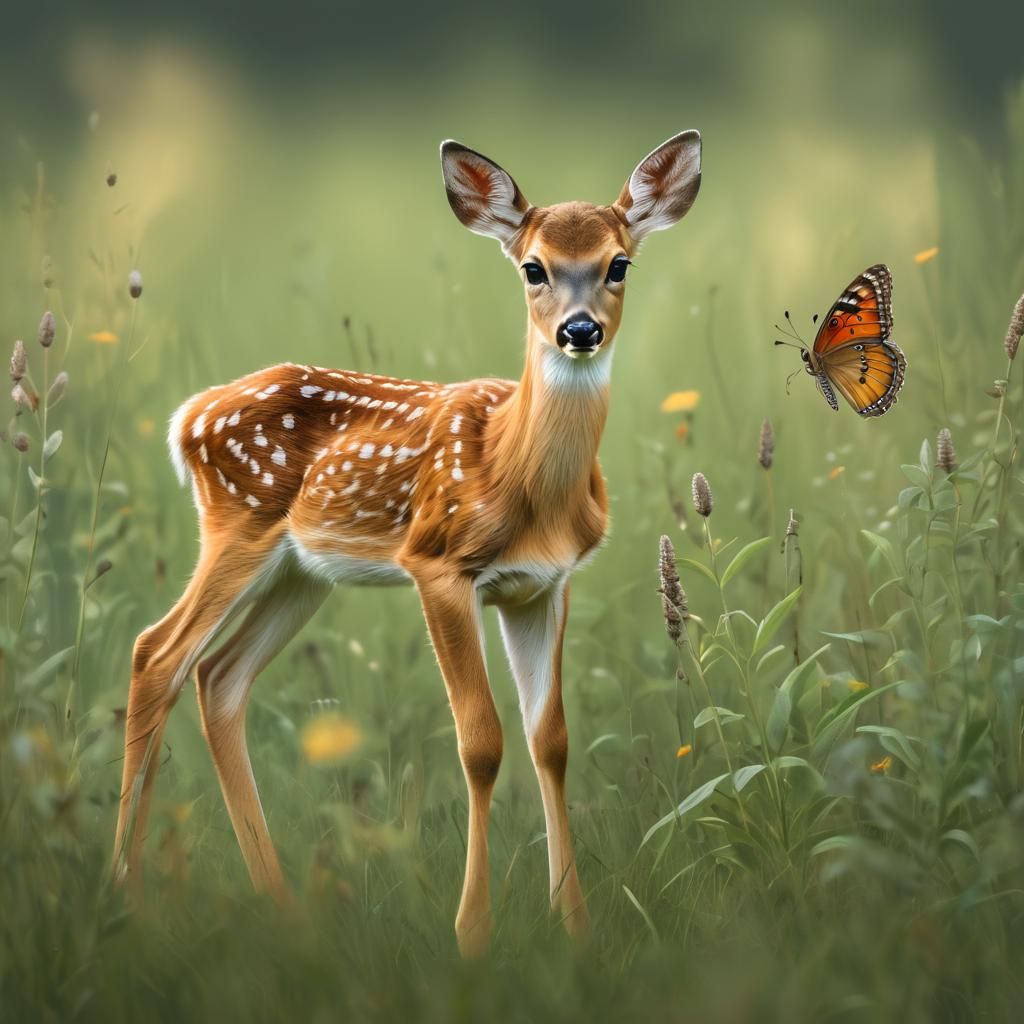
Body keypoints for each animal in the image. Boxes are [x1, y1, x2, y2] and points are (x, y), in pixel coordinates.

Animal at [112, 131, 702, 956]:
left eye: (619, 263)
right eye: (533, 267)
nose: (579, 329)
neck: (518, 473)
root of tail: (187, 417)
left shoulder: (544, 586)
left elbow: (549, 740)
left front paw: (575, 925)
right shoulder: (437, 563)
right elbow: (481, 741)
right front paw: (473, 932)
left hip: (301, 573)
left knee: (218, 677)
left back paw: (281, 906)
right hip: (239, 523)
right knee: (157, 653)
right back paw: (124, 896)